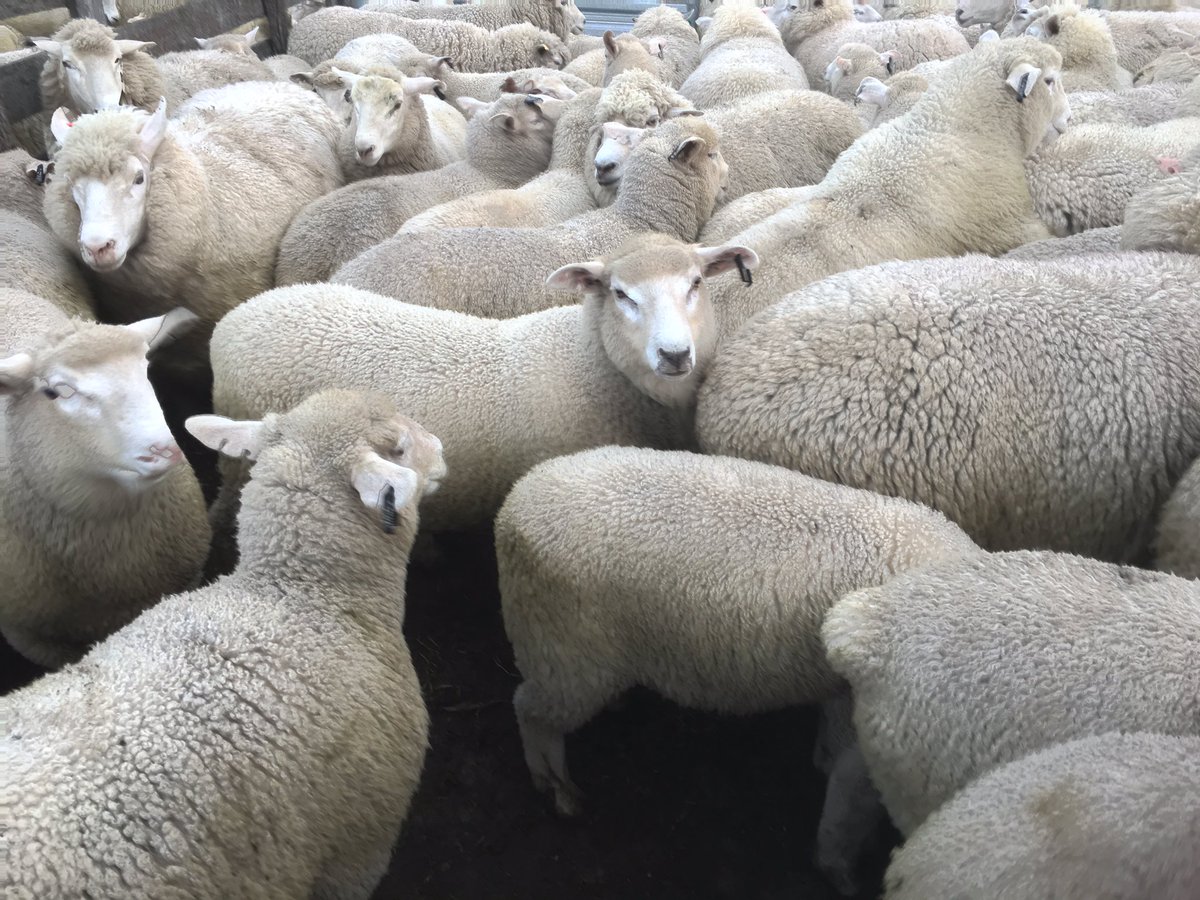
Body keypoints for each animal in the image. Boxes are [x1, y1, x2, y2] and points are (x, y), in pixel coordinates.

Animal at [494, 447, 978, 833]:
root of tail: (511, 509)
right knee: (531, 713)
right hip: (562, 650)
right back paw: (556, 787)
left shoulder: (840, 686)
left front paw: (821, 761)